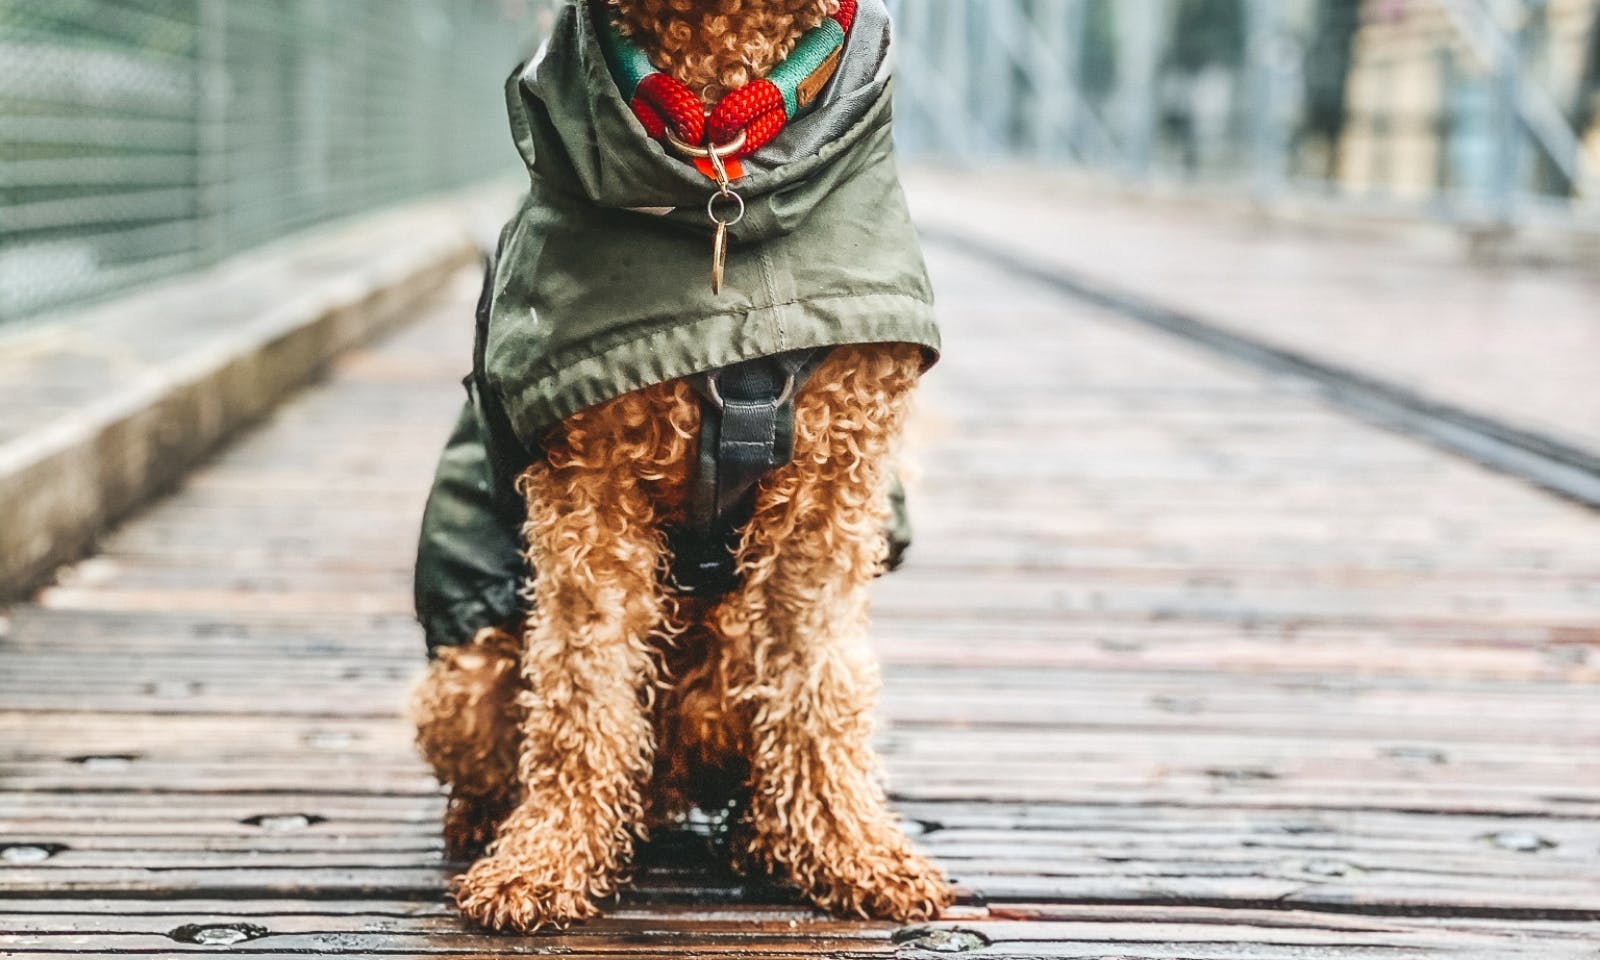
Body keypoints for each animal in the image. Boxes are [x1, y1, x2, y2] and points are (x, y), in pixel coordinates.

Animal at [409, 0, 947, 928]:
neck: (722, 170)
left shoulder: (830, 496)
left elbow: (819, 686)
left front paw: (850, 849)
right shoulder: (587, 490)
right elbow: (580, 691)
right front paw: (544, 859)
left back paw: (766, 839)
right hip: (466, 677)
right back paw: (491, 825)